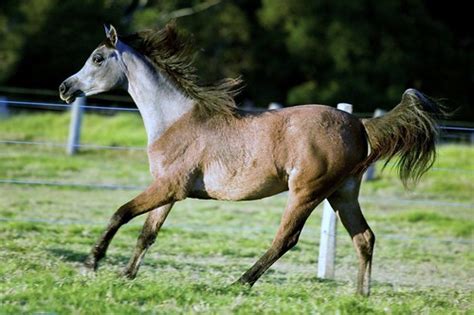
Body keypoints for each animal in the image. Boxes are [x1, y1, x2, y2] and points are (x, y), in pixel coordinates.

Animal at [58, 23, 440, 298]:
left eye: (97, 58)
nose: (64, 88)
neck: (175, 120)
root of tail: (360, 124)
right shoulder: (168, 191)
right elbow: (147, 234)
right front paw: (126, 274)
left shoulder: (168, 187)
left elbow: (120, 213)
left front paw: (91, 263)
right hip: (342, 194)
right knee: (364, 238)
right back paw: (360, 296)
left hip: (306, 193)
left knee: (286, 239)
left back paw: (239, 283)